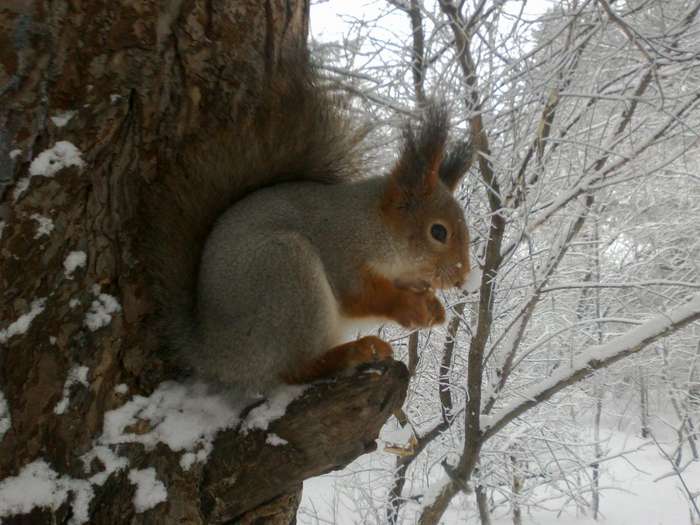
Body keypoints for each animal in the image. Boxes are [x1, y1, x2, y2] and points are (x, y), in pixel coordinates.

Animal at [146, 52, 476, 398]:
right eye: (438, 232)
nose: (462, 276)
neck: (375, 227)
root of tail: (212, 354)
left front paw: (433, 307)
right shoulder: (341, 250)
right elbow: (362, 296)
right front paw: (410, 305)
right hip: (287, 275)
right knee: (294, 370)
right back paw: (354, 352)